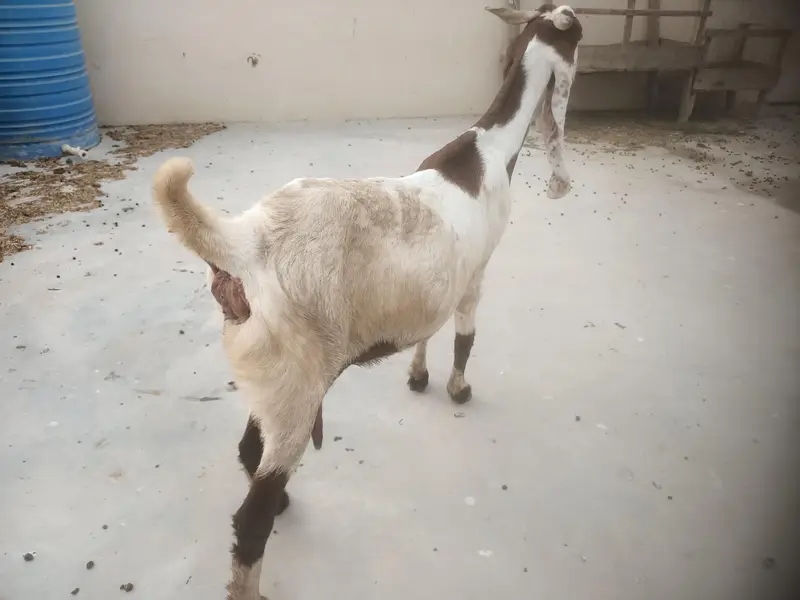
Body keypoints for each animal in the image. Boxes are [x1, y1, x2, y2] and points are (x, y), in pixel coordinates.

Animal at [152, 5, 581, 599]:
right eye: (578, 35)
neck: (487, 153)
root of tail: (244, 239)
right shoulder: (476, 274)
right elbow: (466, 336)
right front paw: (459, 389)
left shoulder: (437, 285)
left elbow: (429, 330)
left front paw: (420, 377)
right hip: (297, 384)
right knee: (251, 517)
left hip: (270, 381)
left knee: (249, 452)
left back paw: (283, 502)